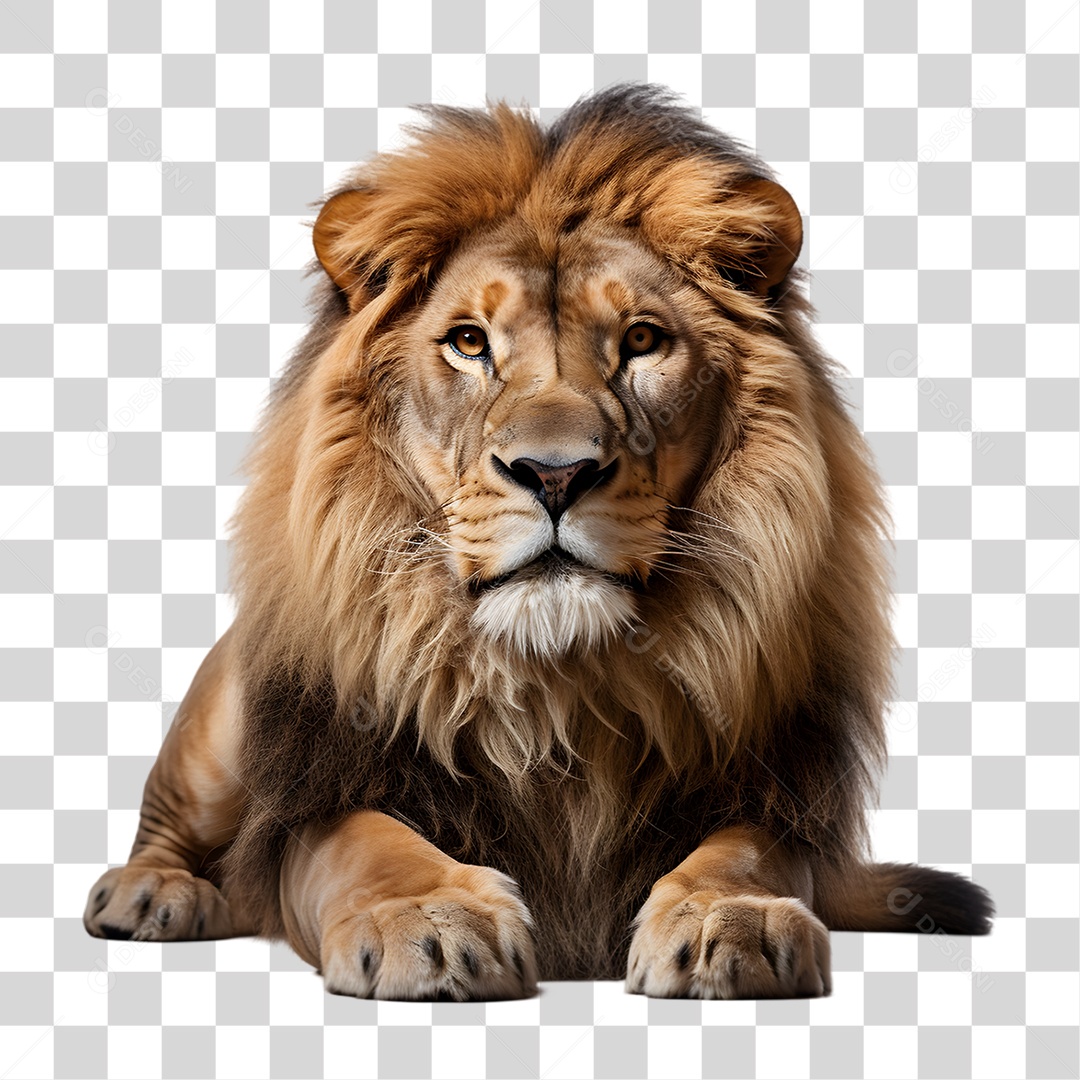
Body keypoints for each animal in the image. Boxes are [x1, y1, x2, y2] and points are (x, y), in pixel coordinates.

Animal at [85, 85, 992, 1000]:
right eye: (469, 341)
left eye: (641, 340)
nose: (555, 474)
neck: (561, 689)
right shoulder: (324, 790)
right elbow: (369, 845)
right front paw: (429, 918)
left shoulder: (769, 794)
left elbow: (745, 855)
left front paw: (728, 919)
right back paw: (152, 893)